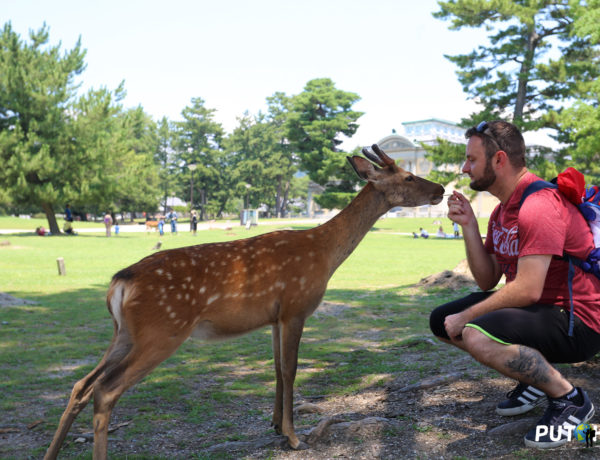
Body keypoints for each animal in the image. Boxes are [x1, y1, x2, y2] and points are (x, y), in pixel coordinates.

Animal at [43, 143, 446, 456]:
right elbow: (291, 369)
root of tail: (119, 283)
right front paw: (294, 437)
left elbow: (277, 369)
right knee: (105, 390)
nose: (441, 188)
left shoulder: (274, 317)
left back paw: (51, 453)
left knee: (82, 384)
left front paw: (276, 425)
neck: (325, 254)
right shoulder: (296, 306)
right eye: (408, 177)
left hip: (124, 332)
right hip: (162, 330)